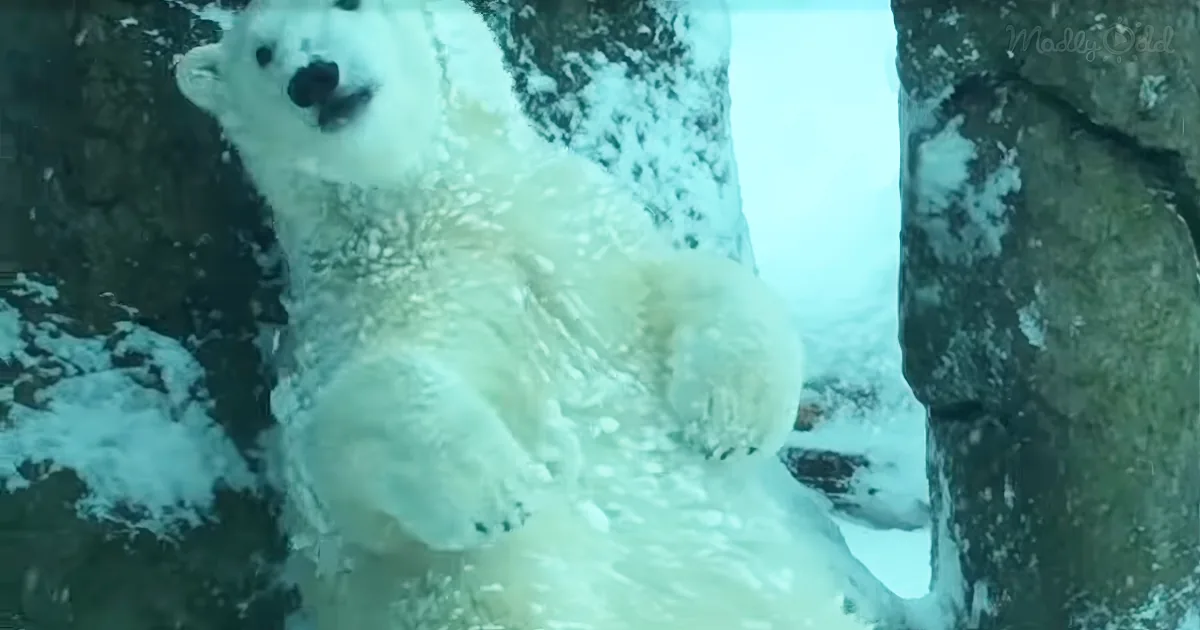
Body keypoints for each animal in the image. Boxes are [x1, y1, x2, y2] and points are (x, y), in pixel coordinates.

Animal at [174, 0, 873, 629]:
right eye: (262, 52)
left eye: (349, 2)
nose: (315, 77)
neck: (434, 203)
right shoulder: (354, 317)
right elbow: (342, 429)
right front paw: (500, 490)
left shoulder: (577, 241)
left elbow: (694, 280)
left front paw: (729, 421)